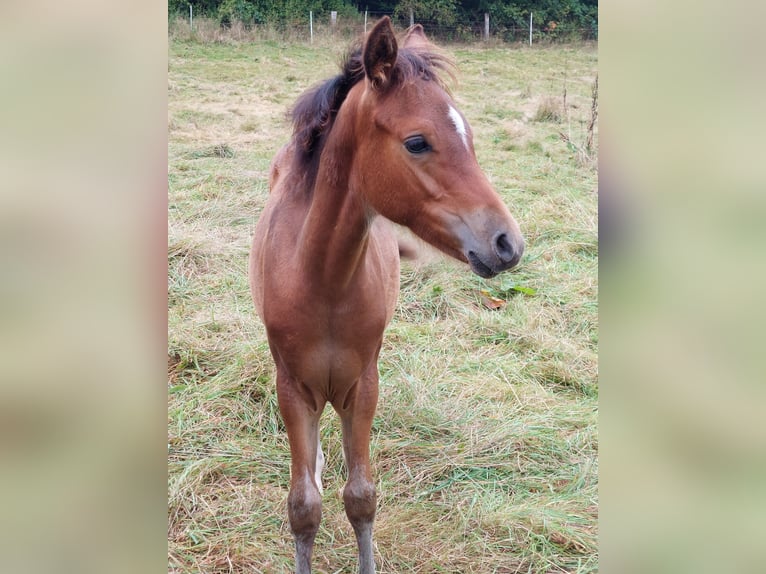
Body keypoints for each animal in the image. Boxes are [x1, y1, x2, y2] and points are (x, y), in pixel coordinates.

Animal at [249, 18, 524, 574]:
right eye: (417, 142)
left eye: (470, 136)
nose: (508, 243)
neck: (322, 280)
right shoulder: (293, 388)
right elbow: (303, 506)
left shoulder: (363, 385)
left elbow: (361, 497)